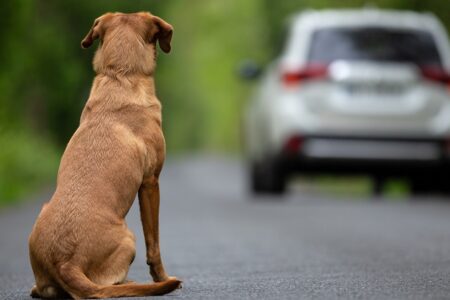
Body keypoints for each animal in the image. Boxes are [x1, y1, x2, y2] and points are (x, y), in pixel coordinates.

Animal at [26, 11, 179, 298]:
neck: (120, 74)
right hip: (129, 238)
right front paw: (161, 277)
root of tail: (65, 263)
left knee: (45, 290)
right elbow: (154, 244)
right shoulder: (150, 182)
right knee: (110, 283)